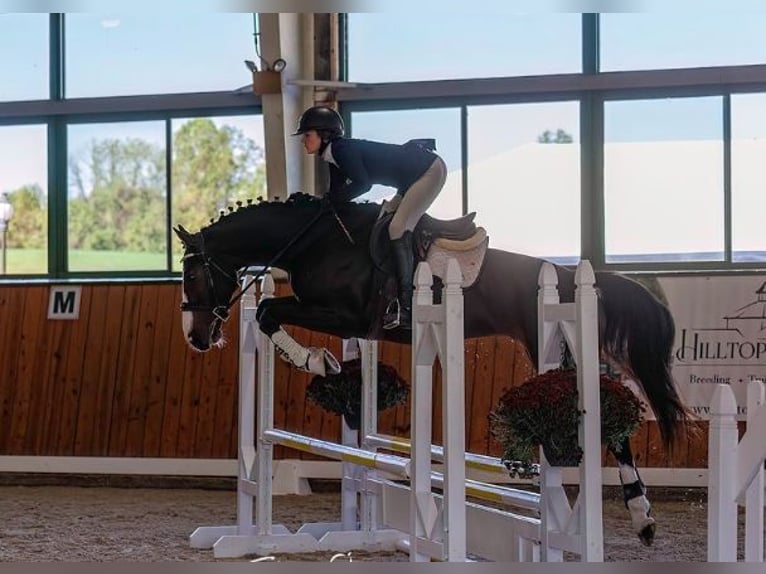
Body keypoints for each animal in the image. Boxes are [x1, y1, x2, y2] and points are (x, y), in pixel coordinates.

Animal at [177, 194, 692, 548]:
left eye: (193, 274)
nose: (196, 337)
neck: (313, 241)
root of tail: (569, 278)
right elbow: (269, 312)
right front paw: (322, 361)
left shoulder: (345, 315)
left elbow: (267, 311)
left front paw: (314, 359)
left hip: (558, 345)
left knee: (606, 415)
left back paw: (642, 517)